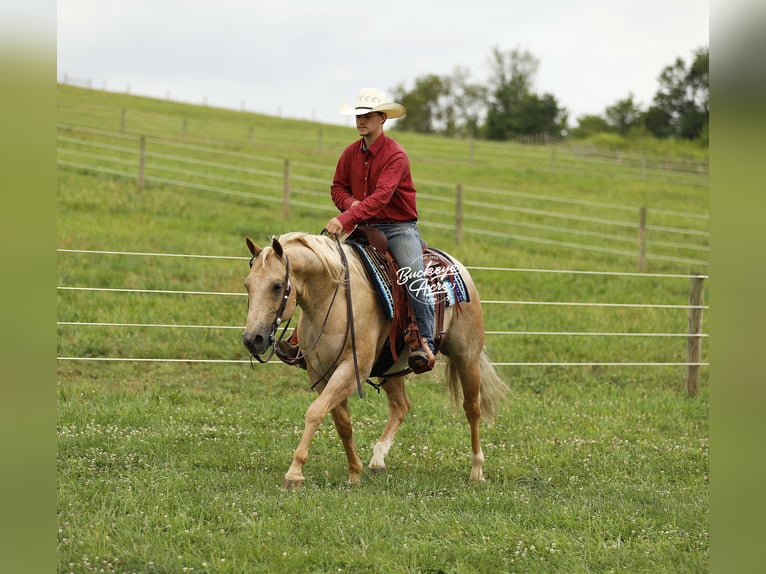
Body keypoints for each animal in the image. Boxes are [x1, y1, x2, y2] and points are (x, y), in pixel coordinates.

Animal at [242, 231, 508, 489]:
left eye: (277, 286)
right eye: (247, 285)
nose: (252, 339)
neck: (331, 300)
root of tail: (456, 265)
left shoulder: (351, 371)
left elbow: (315, 412)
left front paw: (294, 473)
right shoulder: (320, 373)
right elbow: (342, 423)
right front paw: (354, 472)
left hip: (467, 357)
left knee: (472, 409)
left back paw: (476, 470)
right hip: (391, 367)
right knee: (401, 406)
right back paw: (378, 460)